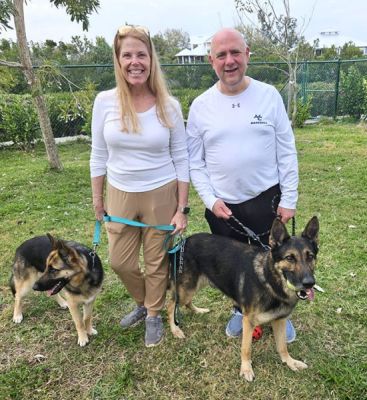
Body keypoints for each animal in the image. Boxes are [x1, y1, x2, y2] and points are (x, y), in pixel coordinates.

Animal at [167, 216, 320, 382]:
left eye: (310, 256)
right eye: (290, 258)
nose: (309, 283)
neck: (270, 281)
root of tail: (184, 241)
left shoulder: (279, 321)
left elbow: (282, 347)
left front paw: (290, 362)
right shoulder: (248, 322)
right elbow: (246, 348)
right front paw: (246, 369)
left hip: (196, 285)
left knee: (186, 303)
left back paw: (198, 310)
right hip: (187, 289)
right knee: (171, 305)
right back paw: (175, 330)